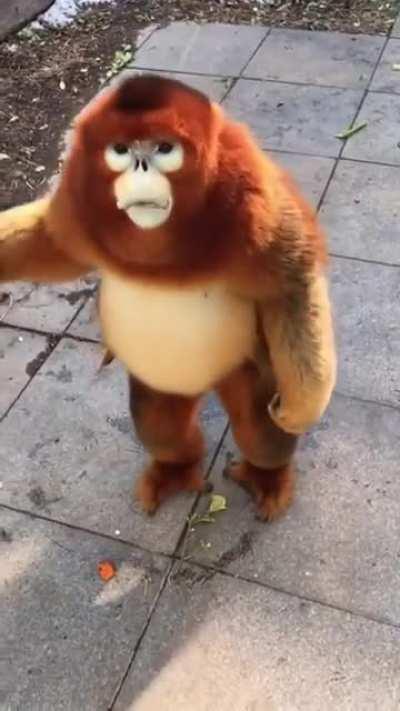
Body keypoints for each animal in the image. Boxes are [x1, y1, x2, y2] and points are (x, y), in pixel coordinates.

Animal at [0, 73, 336, 521]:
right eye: (121, 151)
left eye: (163, 149)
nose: (141, 167)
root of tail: (207, 384)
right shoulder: (78, 202)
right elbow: (51, 243)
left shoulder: (257, 202)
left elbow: (293, 287)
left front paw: (301, 410)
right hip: (161, 382)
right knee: (159, 422)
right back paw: (175, 469)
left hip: (247, 368)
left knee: (259, 432)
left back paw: (266, 476)